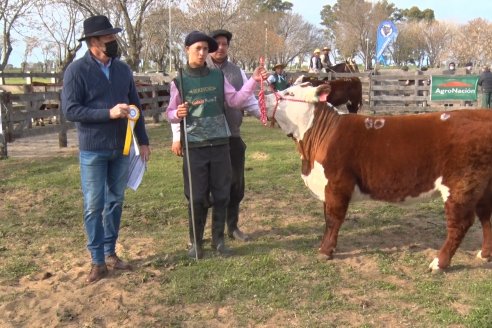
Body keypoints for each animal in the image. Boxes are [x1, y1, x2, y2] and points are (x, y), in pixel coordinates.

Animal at [268, 84, 492, 272]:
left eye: (289, 93)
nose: (266, 97)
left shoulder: (337, 184)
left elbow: (333, 219)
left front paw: (325, 251)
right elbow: (327, 218)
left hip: (461, 185)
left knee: (460, 224)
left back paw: (439, 263)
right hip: (482, 188)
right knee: (486, 216)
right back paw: (484, 254)